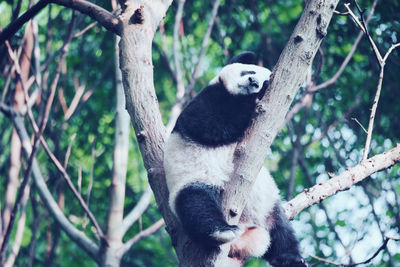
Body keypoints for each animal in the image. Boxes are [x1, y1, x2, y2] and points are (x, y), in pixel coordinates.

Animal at [162, 52, 306, 267]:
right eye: (249, 71)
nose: (254, 82)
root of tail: (245, 232)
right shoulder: (205, 99)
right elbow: (209, 122)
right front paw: (257, 96)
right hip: (193, 180)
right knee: (197, 204)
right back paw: (223, 231)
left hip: (268, 206)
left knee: (281, 233)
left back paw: (293, 259)